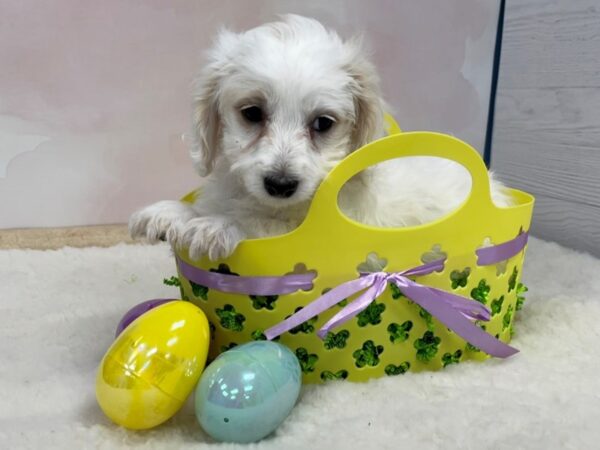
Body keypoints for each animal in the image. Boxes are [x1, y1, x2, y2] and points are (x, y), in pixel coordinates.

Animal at [127, 14, 510, 260]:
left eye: (323, 123)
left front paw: (213, 225)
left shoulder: (313, 229)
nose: (281, 185)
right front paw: (169, 211)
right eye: (252, 113)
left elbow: (261, 223)